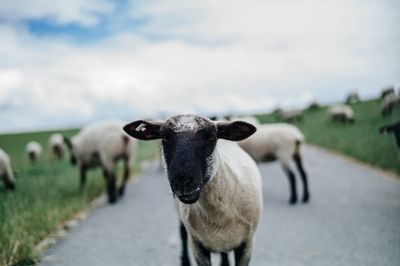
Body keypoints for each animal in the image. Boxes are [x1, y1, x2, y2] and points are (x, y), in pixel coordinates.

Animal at [124, 115, 262, 266]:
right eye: (164, 139)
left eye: (211, 137)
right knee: (182, 234)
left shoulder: (247, 244)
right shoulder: (197, 246)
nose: (182, 182)